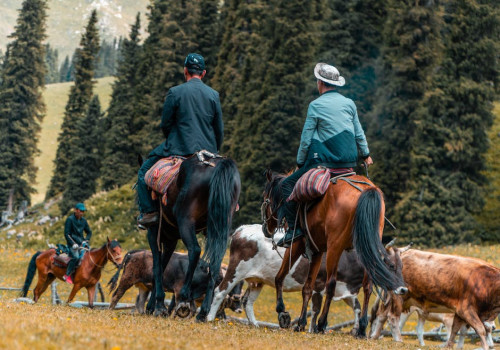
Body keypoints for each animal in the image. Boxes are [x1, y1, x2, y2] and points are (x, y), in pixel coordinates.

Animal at [108, 249, 243, 318]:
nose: (237, 296)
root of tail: (132, 254)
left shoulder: (189, 295)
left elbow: (191, 308)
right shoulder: (179, 291)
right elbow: (179, 305)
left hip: (144, 287)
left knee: (140, 302)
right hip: (127, 280)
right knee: (116, 295)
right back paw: (110, 310)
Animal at [146, 154, 240, 322]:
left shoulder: (153, 234)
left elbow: (157, 267)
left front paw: (158, 305)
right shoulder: (170, 240)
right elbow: (162, 266)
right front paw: (154, 305)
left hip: (186, 221)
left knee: (195, 250)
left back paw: (184, 297)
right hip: (220, 226)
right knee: (216, 260)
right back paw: (203, 312)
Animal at [206, 224, 368, 334]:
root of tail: (242, 229)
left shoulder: (345, 289)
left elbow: (357, 307)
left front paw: (356, 329)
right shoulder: (319, 285)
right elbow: (315, 310)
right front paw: (311, 329)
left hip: (257, 280)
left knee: (247, 301)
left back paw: (255, 324)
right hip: (236, 270)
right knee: (220, 291)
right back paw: (210, 318)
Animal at [262, 171, 406, 334]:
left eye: (265, 197)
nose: (265, 229)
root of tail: (365, 190)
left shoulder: (297, 244)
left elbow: (279, 277)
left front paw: (282, 313)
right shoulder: (317, 251)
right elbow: (307, 287)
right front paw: (301, 323)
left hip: (335, 248)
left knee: (331, 283)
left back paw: (321, 324)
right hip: (364, 248)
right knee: (367, 285)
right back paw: (362, 328)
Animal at [370, 249, 498, 350]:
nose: (494, 327)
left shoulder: (460, 312)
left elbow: (457, 330)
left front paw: (451, 346)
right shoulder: (466, 309)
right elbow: (480, 329)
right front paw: (485, 347)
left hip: (392, 299)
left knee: (382, 315)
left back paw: (374, 337)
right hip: (399, 296)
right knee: (392, 317)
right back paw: (398, 340)